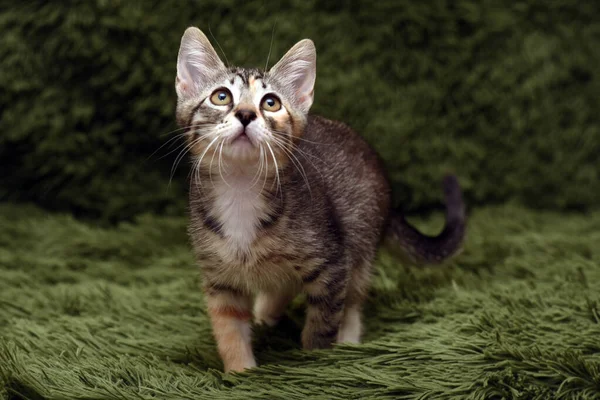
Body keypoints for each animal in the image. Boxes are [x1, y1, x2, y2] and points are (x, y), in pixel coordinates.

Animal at [173, 27, 464, 372]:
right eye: (221, 97)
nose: (245, 114)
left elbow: (322, 323)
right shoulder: (220, 280)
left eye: (270, 103)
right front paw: (239, 372)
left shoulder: (333, 262)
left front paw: (317, 364)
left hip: (361, 240)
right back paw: (267, 312)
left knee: (353, 297)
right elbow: (229, 330)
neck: (241, 189)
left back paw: (348, 337)